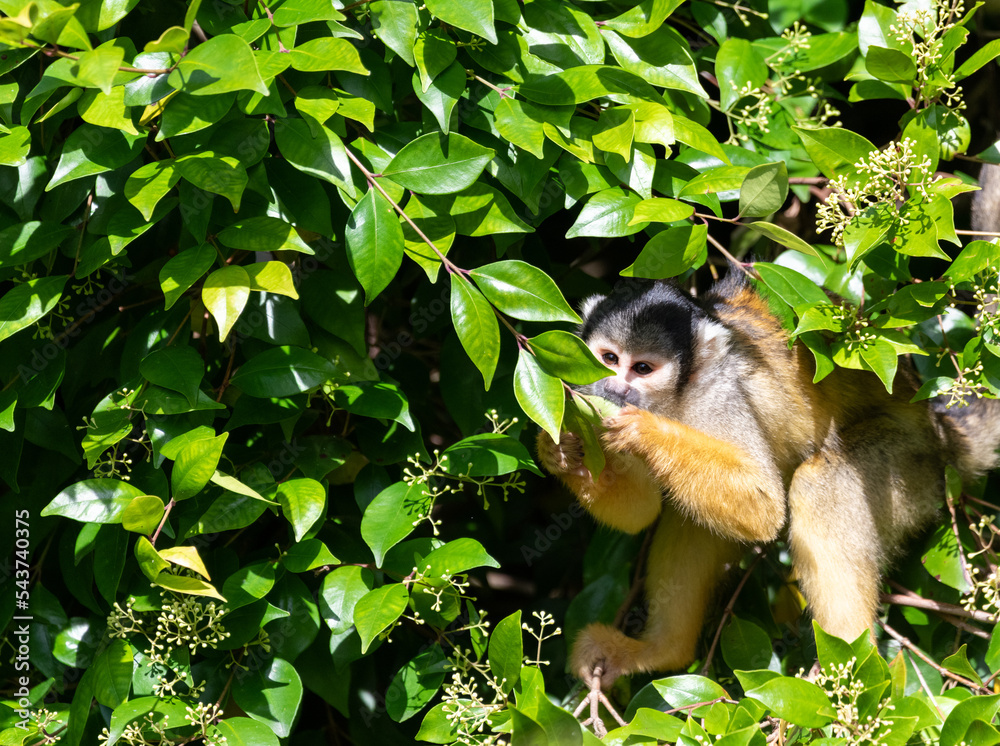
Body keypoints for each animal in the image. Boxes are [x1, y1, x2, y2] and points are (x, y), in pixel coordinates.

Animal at [537, 270, 1000, 690]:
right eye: (609, 359)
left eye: (643, 368)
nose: (615, 389)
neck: (674, 399)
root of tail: (941, 432)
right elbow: (641, 513)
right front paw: (561, 451)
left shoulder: (719, 391)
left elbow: (762, 505)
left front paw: (641, 430)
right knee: (692, 516)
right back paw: (662, 650)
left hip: (910, 467)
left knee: (820, 484)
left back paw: (851, 671)